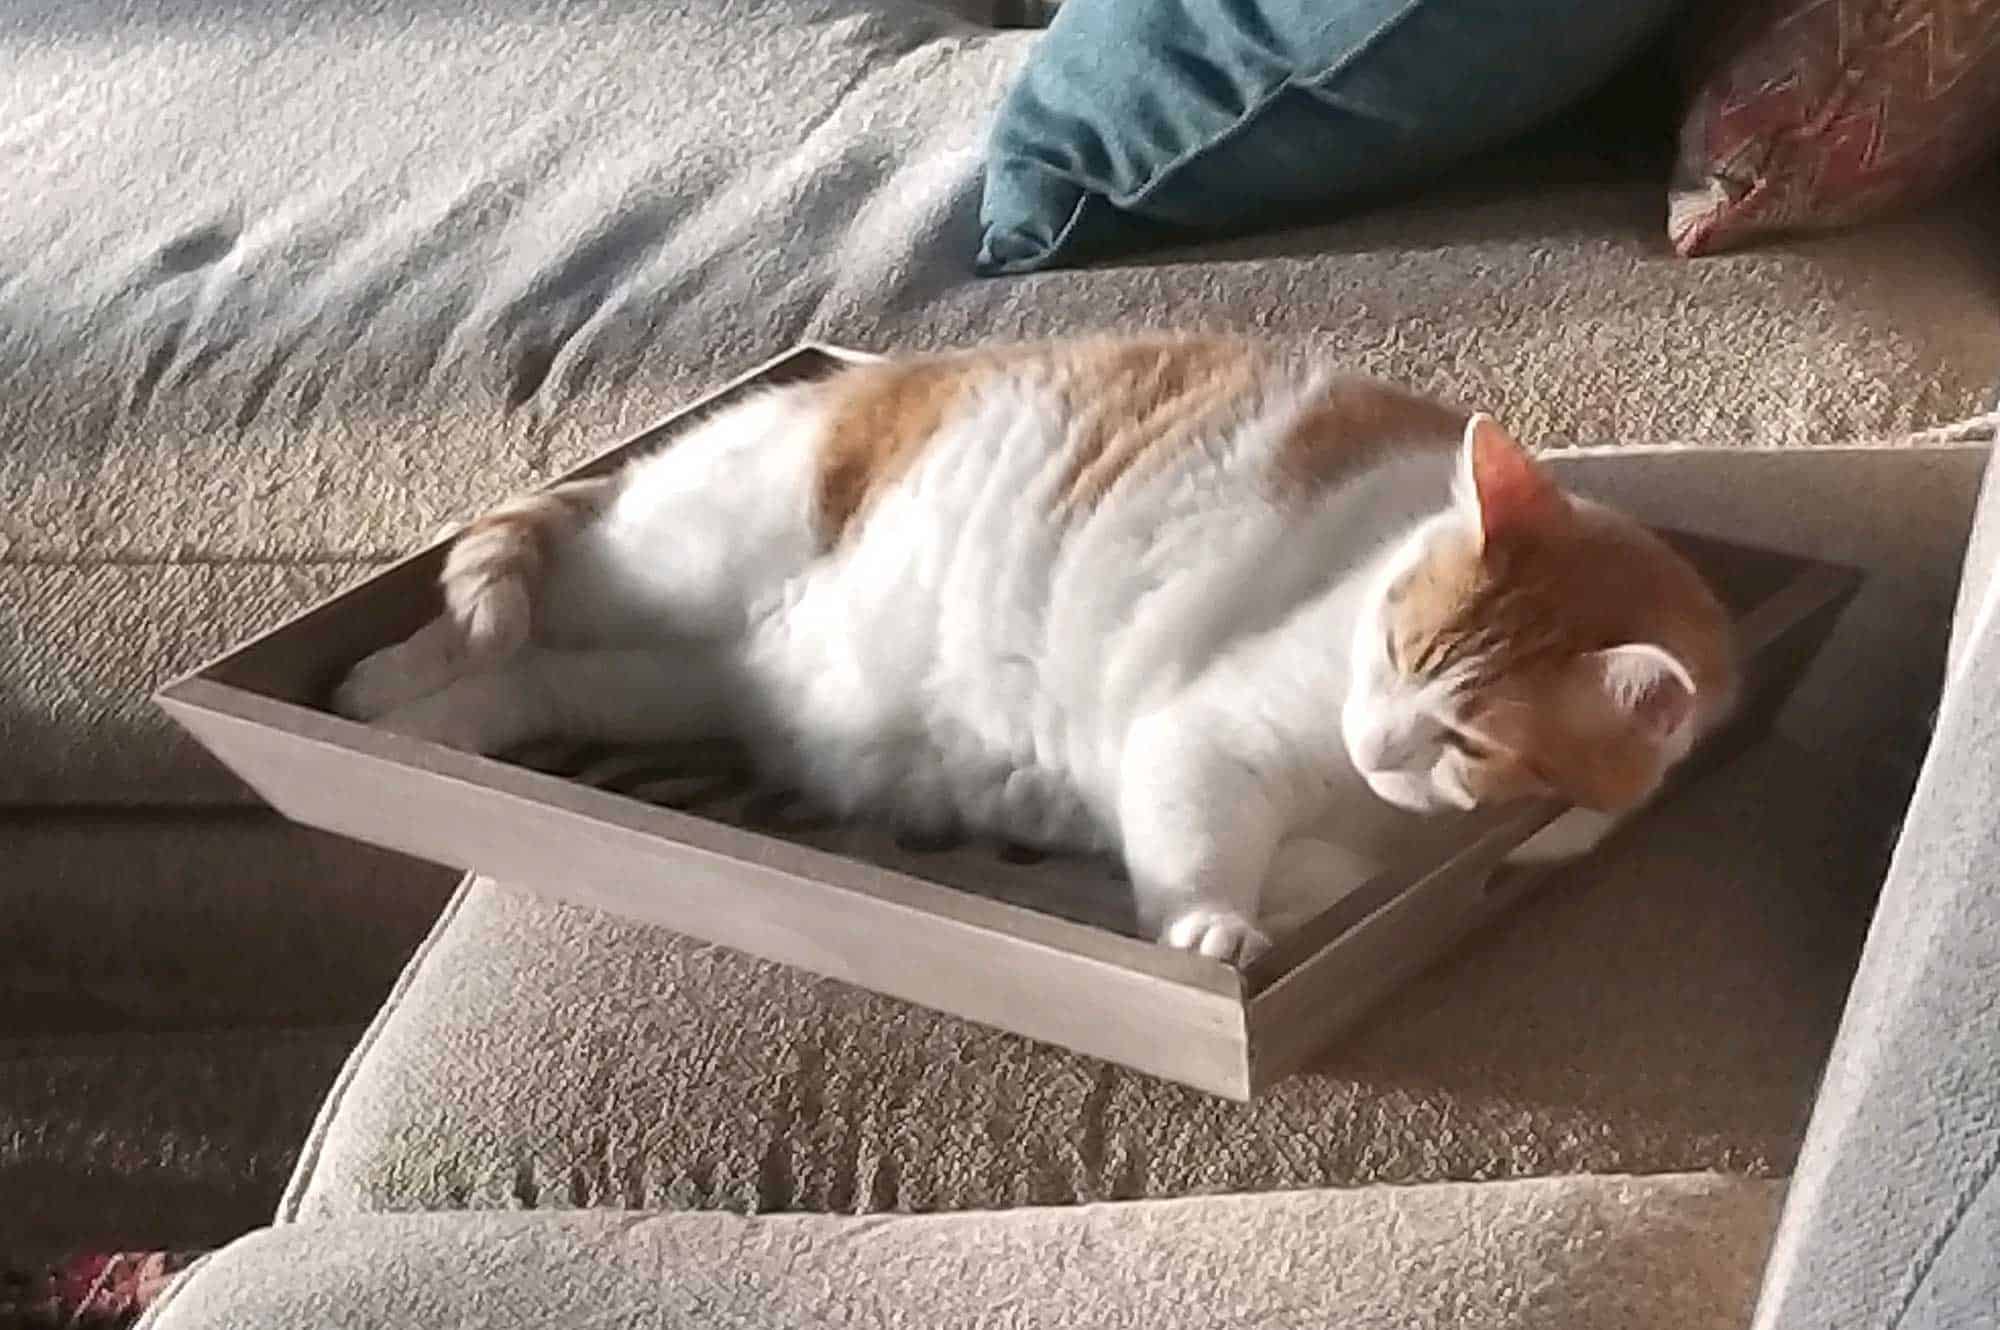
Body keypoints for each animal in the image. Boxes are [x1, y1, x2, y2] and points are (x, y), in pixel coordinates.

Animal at [332, 330, 1736, 956]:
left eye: (1466, 737)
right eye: (1392, 641)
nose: (1372, 738)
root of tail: (844, 377)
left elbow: (1326, 882)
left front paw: (1294, 893)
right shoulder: (1206, 739)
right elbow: (1201, 851)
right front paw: (1215, 926)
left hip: (668, 683)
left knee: (527, 680)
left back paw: (412, 722)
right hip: (669, 563)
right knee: (507, 594)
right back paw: (379, 678)